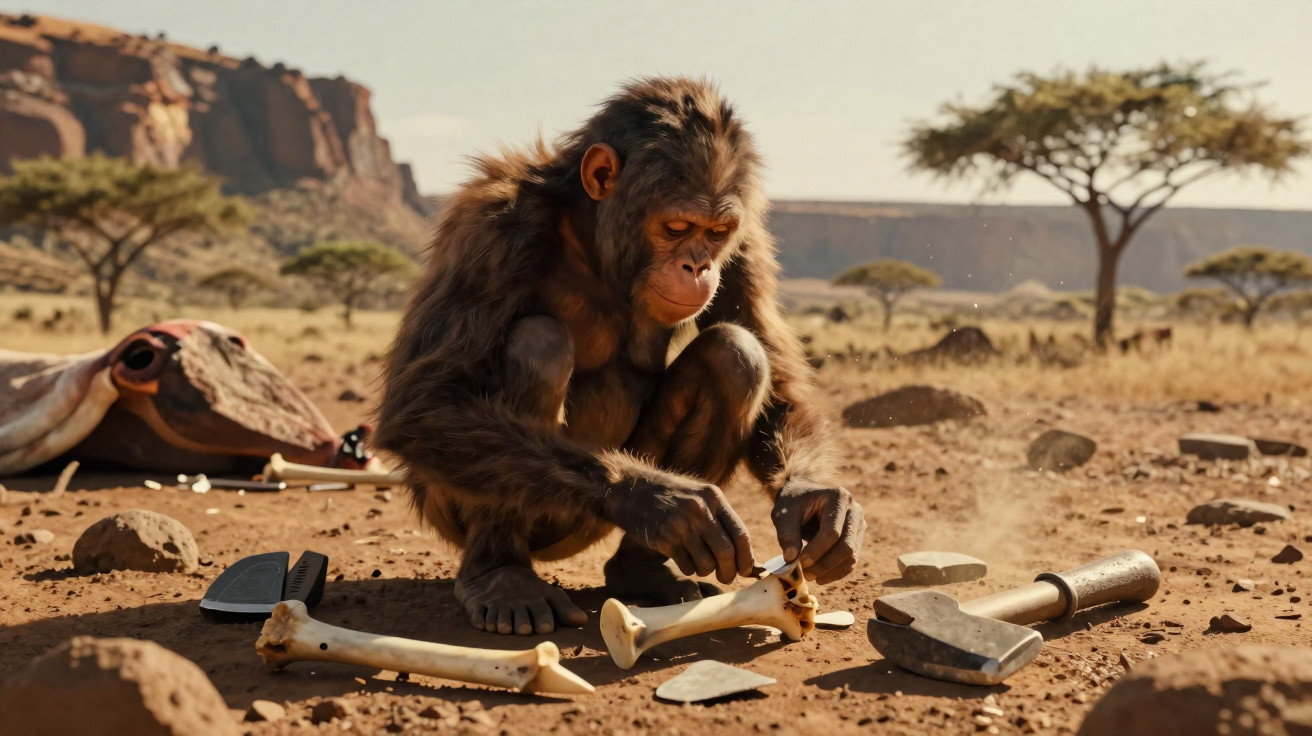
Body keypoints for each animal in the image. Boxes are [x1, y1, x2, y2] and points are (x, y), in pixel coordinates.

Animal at [375, 77, 865, 636]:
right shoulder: (492, 231)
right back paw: (501, 577)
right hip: (499, 513)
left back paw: (642, 572)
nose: (698, 265)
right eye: (677, 227)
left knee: (735, 355)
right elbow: (426, 400)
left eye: (716, 232)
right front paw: (658, 500)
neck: (593, 236)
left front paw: (815, 501)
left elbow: (775, 372)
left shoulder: (746, 243)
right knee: (538, 342)